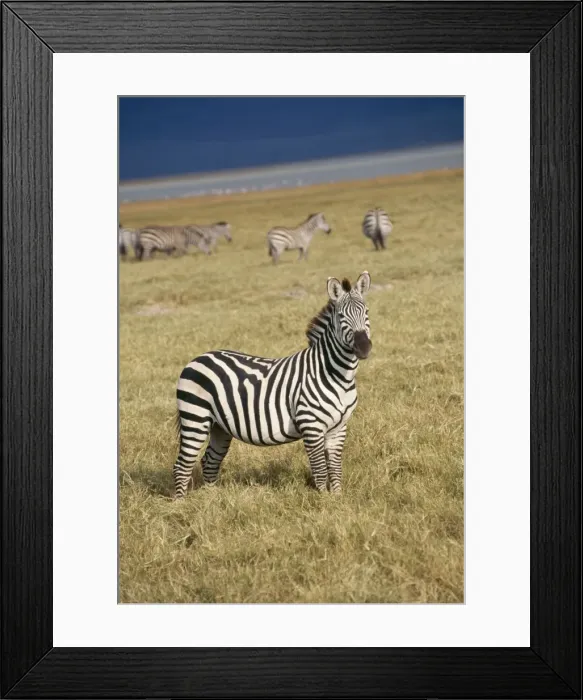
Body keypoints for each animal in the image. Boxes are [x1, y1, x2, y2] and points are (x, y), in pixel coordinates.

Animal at [172, 271, 372, 499]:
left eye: (366, 312)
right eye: (340, 317)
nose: (364, 347)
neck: (337, 375)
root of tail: (197, 359)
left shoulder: (339, 427)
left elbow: (336, 468)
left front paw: (337, 499)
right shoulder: (311, 425)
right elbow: (321, 470)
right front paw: (323, 501)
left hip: (219, 426)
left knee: (209, 461)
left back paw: (212, 500)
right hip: (195, 418)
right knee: (182, 465)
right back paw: (181, 503)